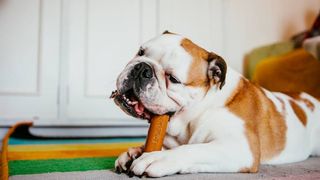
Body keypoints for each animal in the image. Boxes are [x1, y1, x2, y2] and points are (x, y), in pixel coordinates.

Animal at [112, 31, 320, 177]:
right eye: (140, 52)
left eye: (173, 79)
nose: (142, 68)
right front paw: (135, 152)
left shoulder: (240, 147)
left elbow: (194, 149)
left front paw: (158, 157)